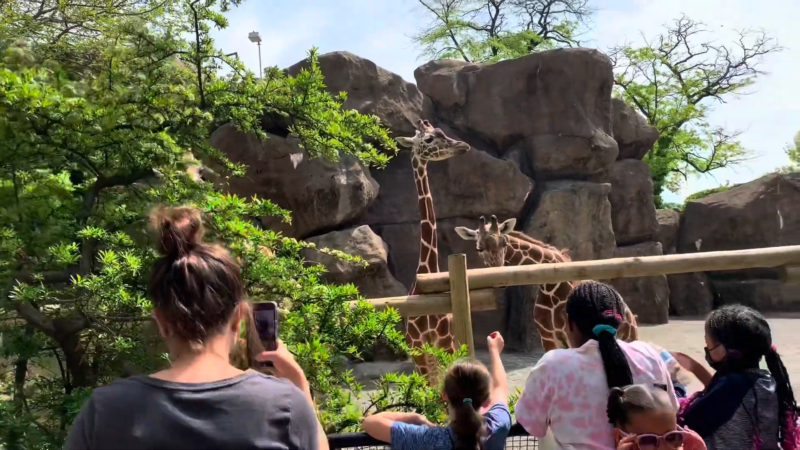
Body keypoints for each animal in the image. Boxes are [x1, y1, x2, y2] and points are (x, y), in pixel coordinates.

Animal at [456, 215, 636, 352]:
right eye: (479, 248)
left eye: (504, 243)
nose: (499, 279)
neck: (550, 287)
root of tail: (632, 319)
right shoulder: (548, 337)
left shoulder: (571, 336)